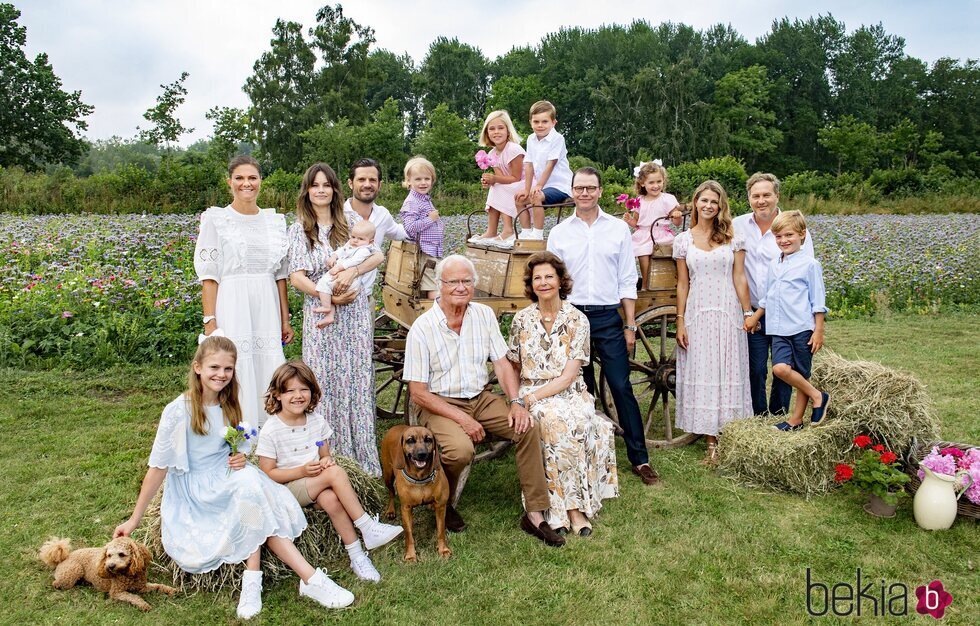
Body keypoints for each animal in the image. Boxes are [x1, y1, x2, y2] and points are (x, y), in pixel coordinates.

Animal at [38, 532, 177, 608]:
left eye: (121, 554)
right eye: (109, 555)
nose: (110, 566)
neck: (128, 574)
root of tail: (64, 558)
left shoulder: (142, 586)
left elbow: (158, 586)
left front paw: (171, 590)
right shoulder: (116, 592)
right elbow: (133, 597)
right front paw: (144, 605)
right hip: (74, 571)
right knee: (57, 582)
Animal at [382, 424, 452, 560]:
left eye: (428, 439)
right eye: (410, 440)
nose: (422, 454)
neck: (420, 479)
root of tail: (395, 426)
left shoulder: (441, 506)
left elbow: (440, 530)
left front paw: (443, 549)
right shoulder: (406, 509)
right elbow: (408, 534)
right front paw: (410, 555)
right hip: (387, 475)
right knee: (391, 492)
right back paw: (391, 510)